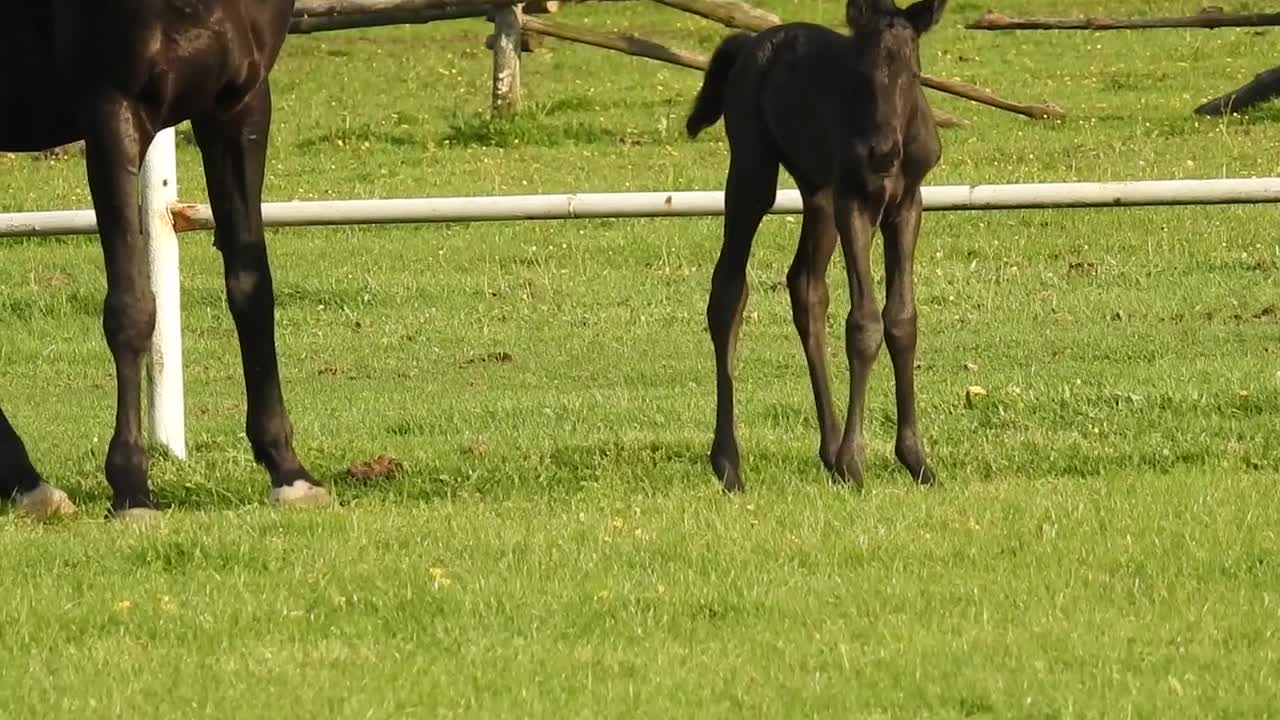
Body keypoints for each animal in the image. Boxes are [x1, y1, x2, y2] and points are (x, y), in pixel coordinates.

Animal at [2, 0, 330, 515]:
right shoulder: (112, 112)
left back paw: (29, 484)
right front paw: (131, 488)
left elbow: (251, 288)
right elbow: (132, 309)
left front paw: (288, 470)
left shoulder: (239, 105)